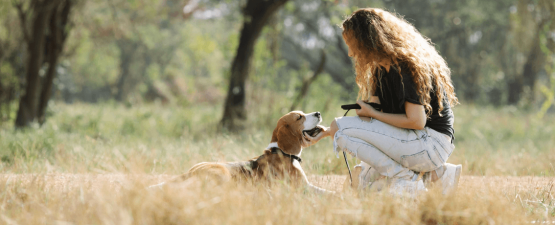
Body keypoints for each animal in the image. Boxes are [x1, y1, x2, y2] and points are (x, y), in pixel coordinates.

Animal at [148, 110, 332, 193]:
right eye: (299, 117)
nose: (318, 113)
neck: (281, 151)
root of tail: (191, 172)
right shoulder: (303, 187)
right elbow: (326, 192)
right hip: (223, 175)